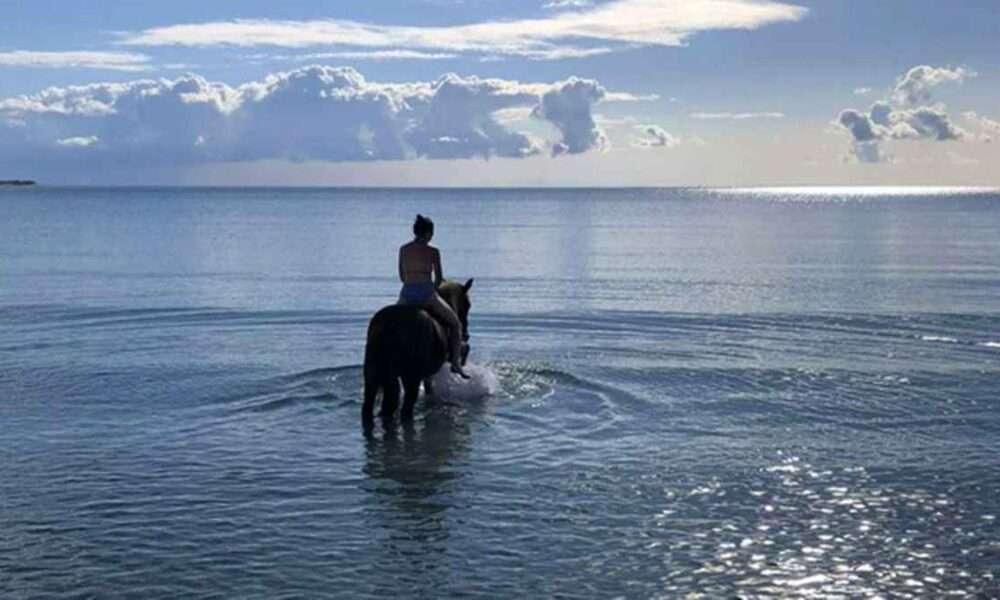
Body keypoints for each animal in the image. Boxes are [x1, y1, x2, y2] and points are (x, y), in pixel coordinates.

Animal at [363, 278, 474, 422]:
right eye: (468, 304)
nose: (466, 334)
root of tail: (389, 325)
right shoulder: (449, 355)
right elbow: (465, 349)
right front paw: (460, 366)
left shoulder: (427, 374)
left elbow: (429, 389)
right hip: (410, 379)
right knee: (405, 410)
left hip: (372, 375)